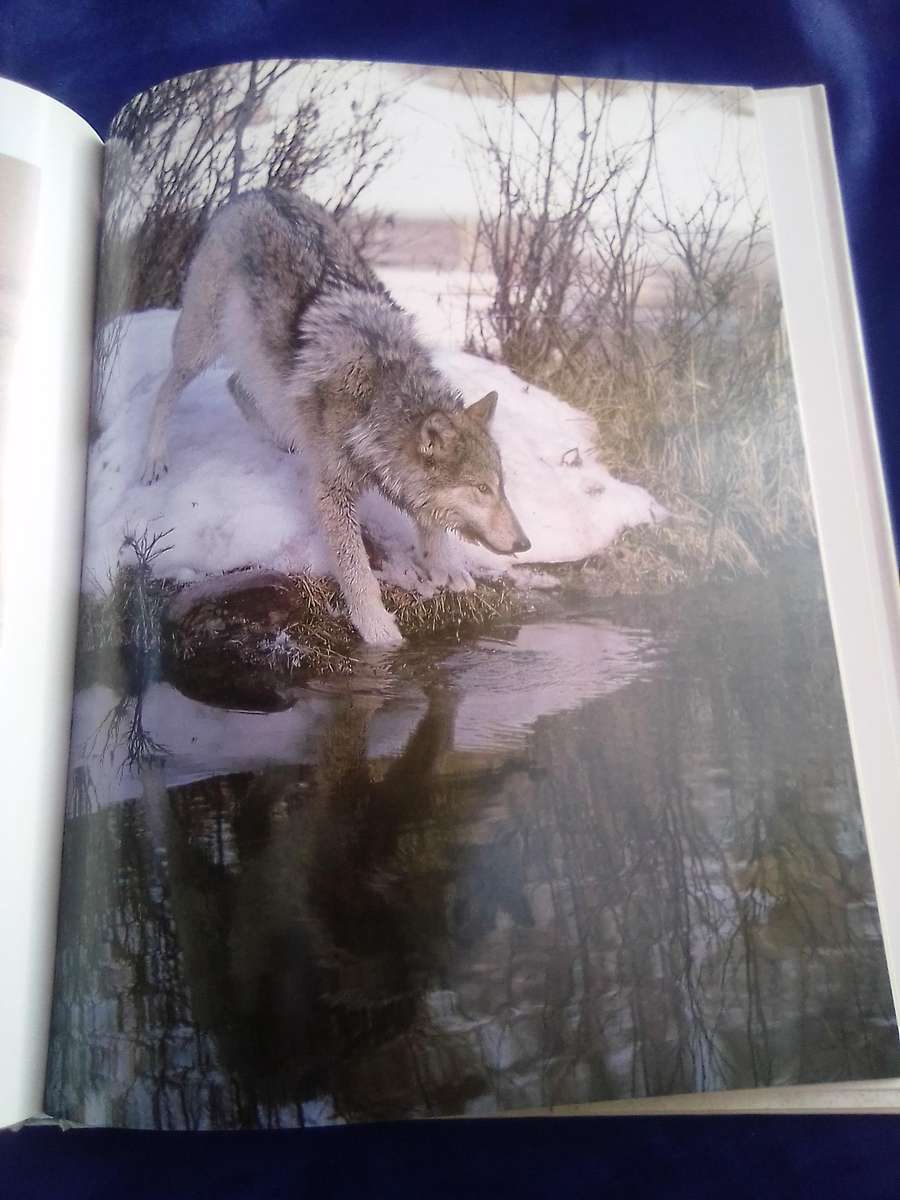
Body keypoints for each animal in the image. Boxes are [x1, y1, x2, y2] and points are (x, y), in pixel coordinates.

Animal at [141, 189, 529, 646]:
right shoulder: (332, 493)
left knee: (237, 385)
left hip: (257, 360)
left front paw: (446, 565)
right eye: (481, 489)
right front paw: (378, 629)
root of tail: (259, 191)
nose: (525, 544)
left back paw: (285, 440)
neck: (377, 395)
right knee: (166, 389)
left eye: (500, 487)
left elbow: (430, 524)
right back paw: (153, 459)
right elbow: (357, 571)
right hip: (201, 344)